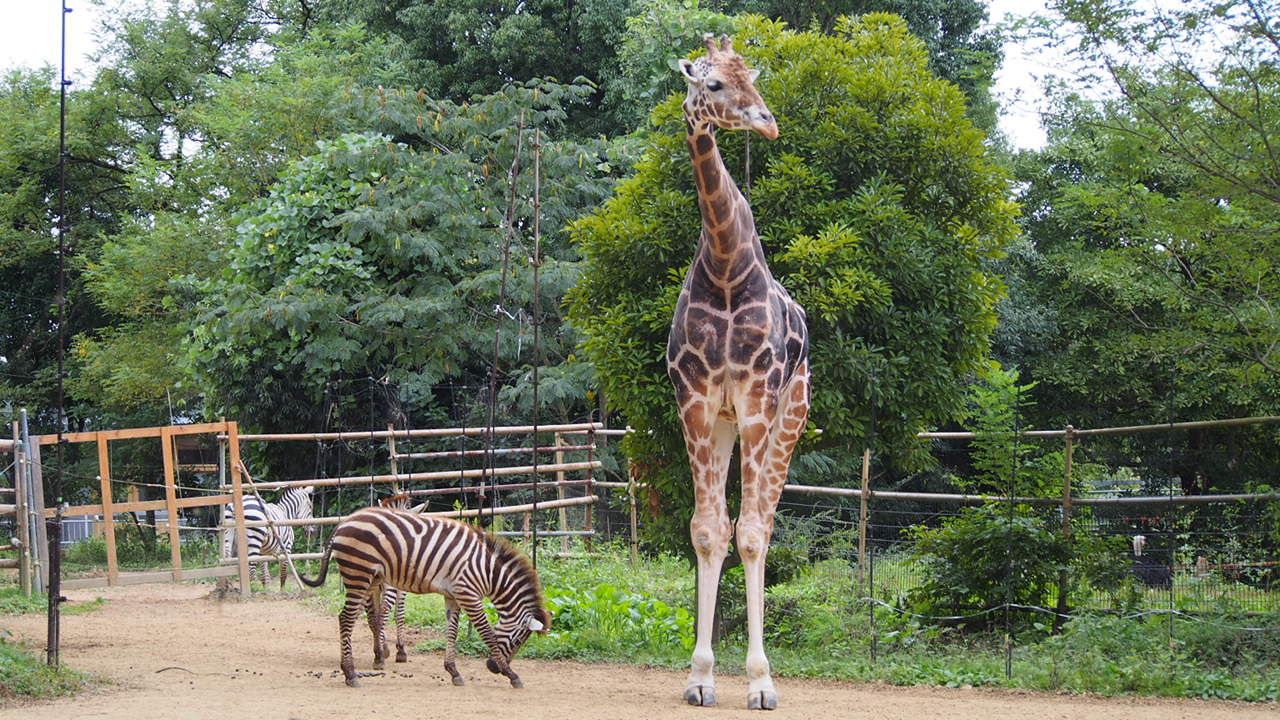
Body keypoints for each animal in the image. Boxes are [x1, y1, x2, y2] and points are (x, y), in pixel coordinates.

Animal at [299, 502, 550, 686]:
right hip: (358, 575)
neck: (486, 571)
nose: (492, 668)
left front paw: (453, 672)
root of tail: (344, 522)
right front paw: (512, 675)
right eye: (518, 640)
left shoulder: (453, 595)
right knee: (347, 619)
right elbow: (487, 633)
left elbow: (452, 631)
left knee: (359, 616)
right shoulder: (469, 594)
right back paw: (350, 674)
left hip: (369, 579)